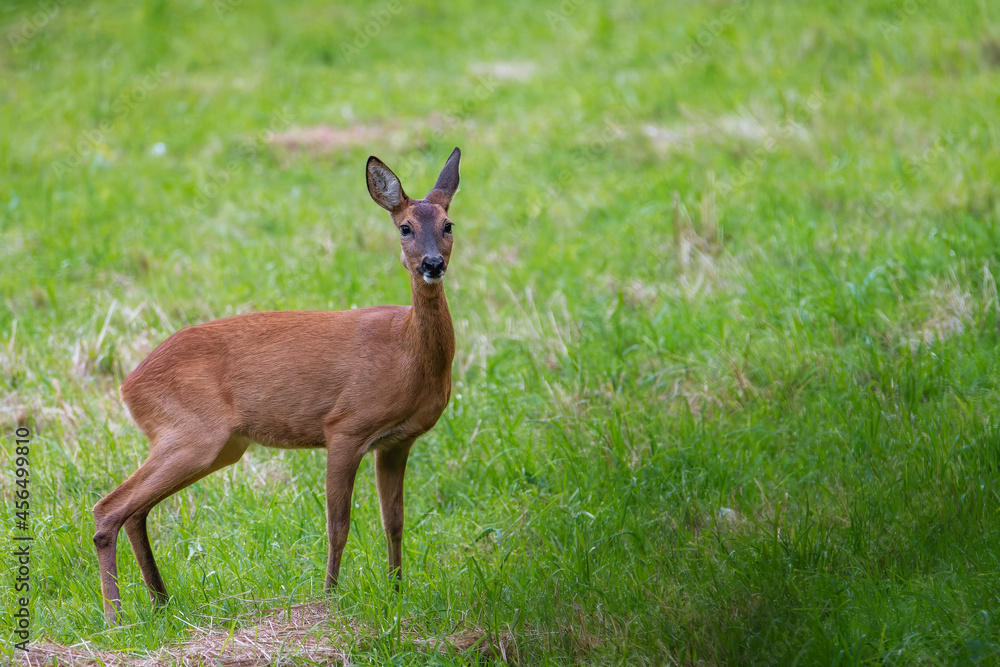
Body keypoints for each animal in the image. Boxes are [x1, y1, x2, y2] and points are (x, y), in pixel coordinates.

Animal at [93, 148, 461, 624]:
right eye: (405, 227)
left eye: (448, 225)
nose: (432, 265)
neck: (406, 353)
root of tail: (129, 385)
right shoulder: (345, 426)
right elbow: (338, 523)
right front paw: (330, 595)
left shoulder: (397, 441)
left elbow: (394, 521)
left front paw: (398, 591)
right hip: (192, 432)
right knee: (109, 508)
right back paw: (116, 617)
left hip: (216, 445)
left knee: (135, 511)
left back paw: (160, 600)